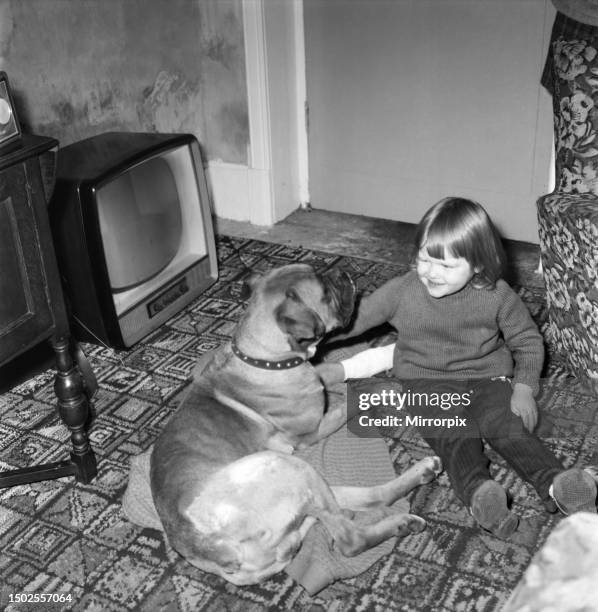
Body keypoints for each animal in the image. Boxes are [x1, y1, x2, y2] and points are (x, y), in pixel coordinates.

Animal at [150, 266, 440, 584]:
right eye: (324, 293)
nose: (342, 273)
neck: (264, 358)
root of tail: (218, 553)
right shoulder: (312, 432)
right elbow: (349, 401)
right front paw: (383, 386)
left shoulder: (319, 375)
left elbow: (336, 369)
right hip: (287, 466)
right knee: (351, 540)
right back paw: (398, 521)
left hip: (304, 480)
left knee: (367, 499)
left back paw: (419, 480)